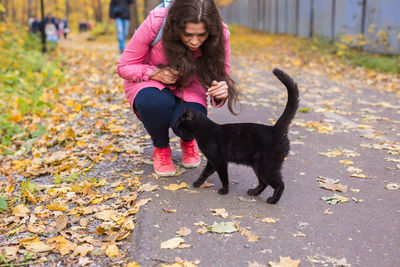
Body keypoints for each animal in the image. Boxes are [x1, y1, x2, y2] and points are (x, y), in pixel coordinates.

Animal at [177, 68, 298, 204]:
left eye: (180, 120)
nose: (175, 124)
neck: (204, 130)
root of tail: (275, 129)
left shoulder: (219, 161)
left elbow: (224, 177)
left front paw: (224, 190)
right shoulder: (212, 161)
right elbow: (204, 173)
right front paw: (198, 183)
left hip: (267, 166)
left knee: (280, 184)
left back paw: (272, 200)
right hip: (258, 166)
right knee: (263, 183)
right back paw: (253, 192)